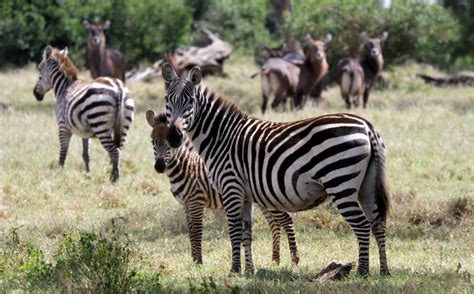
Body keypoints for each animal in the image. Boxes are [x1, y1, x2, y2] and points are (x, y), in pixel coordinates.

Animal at [33, 45, 134, 181]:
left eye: (40, 69)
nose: (35, 94)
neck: (64, 87)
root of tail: (118, 87)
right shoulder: (85, 133)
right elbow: (86, 155)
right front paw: (87, 175)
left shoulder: (63, 126)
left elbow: (63, 152)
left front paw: (59, 175)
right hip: (123, 125)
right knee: (119, 150)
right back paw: (115, 176)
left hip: (100, 124)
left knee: (114, 152)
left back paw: (114, 179)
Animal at [145, 110, 300, 266]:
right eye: (153, 141)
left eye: (169, 143)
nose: (159, 167)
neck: (184, 166)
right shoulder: (185, 204)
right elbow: (190, 231)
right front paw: (194, 260)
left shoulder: (197, 202)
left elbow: (197, 231)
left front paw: (199, 262)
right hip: (263, 200)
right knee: (275, 223)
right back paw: (275, 259)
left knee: (286, 220)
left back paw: (294, 259)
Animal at [161, 63, 390, 276]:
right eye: (167, 100)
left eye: (190, 101)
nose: (173, 136)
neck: (220, 137)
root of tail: (366, 126)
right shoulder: (245, 195)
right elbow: (246, 234)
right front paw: (249, 271)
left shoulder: (231, 186)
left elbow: (234, 231)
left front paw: (234, 270)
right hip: (366, 186)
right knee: (377, 222)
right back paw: (384, 270)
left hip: (340, 182)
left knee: (362, 225)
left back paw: (363, 271)